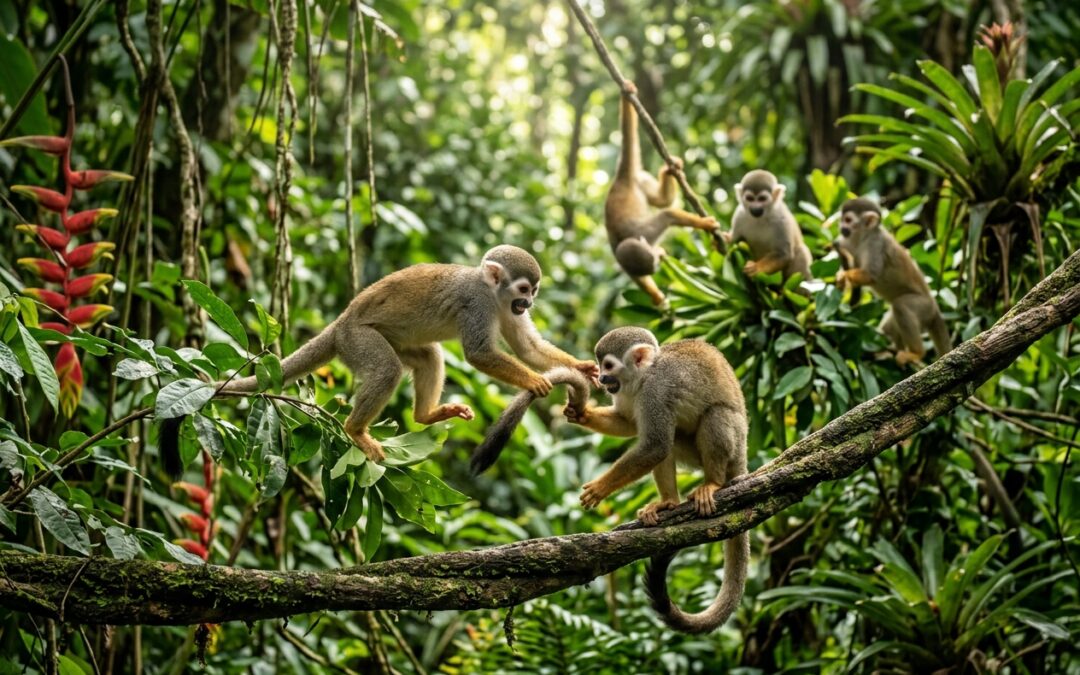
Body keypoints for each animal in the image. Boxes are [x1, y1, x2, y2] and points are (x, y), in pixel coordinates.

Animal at [219, 245, 599, 464]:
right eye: (524, 289)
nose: (529, 303)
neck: (494, 295)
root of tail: (340, 322)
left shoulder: (506, 308)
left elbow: (527, 348)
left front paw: (581, 366)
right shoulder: (476, 303)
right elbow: (479, 354)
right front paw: (534, 381)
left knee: (429, 356)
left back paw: (425, 416)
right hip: (358, 340)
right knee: (387, 368)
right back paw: (355, 430)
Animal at [564, 326, 749, 633]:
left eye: (608, 366)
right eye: (600, 367)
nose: (601, 379)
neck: (643, 377)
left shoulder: (655, 393)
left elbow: (654, 446)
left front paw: (600, 487)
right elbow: (630, 424)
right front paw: (582, 413)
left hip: (734, 442)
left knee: (713, 416)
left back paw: (712, 483)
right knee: (671, 440)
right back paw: (668, 503)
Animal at [605, 81, 719, 306]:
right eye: (653, 265)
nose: (658, 264)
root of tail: (621, 180)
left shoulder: (646, 232)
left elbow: (668, 216)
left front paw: (705, 224)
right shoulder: (622, 262)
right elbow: (637, 278)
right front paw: (656, 296)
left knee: (665, 207)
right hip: (641, 181)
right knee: (662, 200)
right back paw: (667, 172)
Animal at [835, 197, 952, 365]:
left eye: (848, 220)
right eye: (842, 220)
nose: (842, 228)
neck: (863, 237)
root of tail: (935, 309)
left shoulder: (876, 244)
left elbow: (871, 276)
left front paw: (845, 275)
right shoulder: (846, 243)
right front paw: (841, 278)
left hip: (924, 308)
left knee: (901, 306)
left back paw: (916, 353)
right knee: (888, 327)